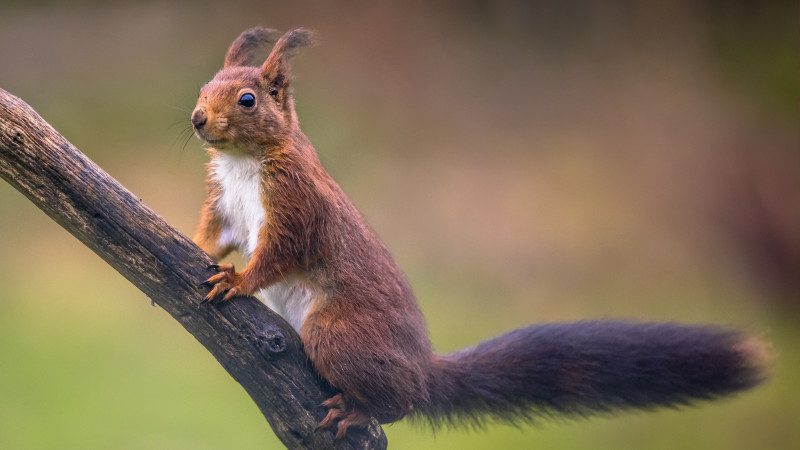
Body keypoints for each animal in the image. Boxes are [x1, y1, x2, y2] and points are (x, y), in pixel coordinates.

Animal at [192, 27, 768, 440]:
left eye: (247, 99)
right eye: (202, 88)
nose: (197, 119)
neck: (245, 164)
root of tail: (423, 370)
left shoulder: (297, 207)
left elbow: (279, 254)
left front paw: (238, 281)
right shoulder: (225, 205)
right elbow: (215, 234)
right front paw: (193, 249)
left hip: (337, 334)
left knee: (399, 401)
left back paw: (360, 412)